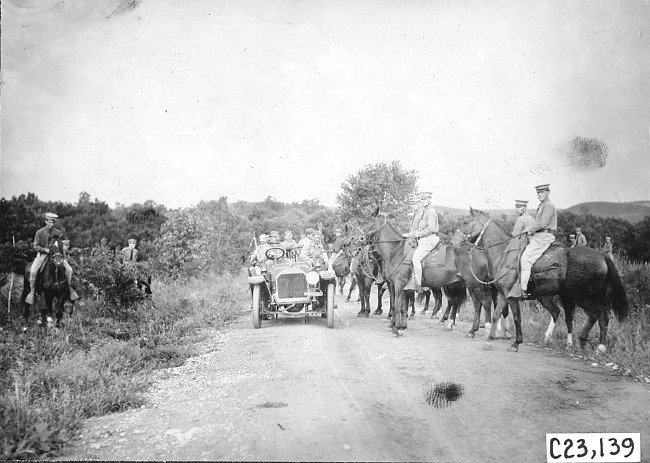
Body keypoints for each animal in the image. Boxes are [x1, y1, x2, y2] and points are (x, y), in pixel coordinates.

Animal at [354, 210, 466, 338]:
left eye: (366, 221)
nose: (354, 239)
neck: (396, 252)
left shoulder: (399, 284)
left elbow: (397, 305)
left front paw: (397, 328)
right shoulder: (397, 286)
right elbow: (401, 305)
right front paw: (400, 326)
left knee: (458, 301)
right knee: (454, 301)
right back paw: (449, 323)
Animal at [454, 208, 624, 354]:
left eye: (466, 221)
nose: (453, 241)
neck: (504, 254)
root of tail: (602, 256)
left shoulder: (511, 296)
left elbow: (516, 317)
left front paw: (516, 343)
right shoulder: (503, 294)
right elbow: (497, 314)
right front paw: (489, 339)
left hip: (583, 296)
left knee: (593, 315)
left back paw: (582, 340)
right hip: (572, 297)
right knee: (597, 316)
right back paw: (598, 346)